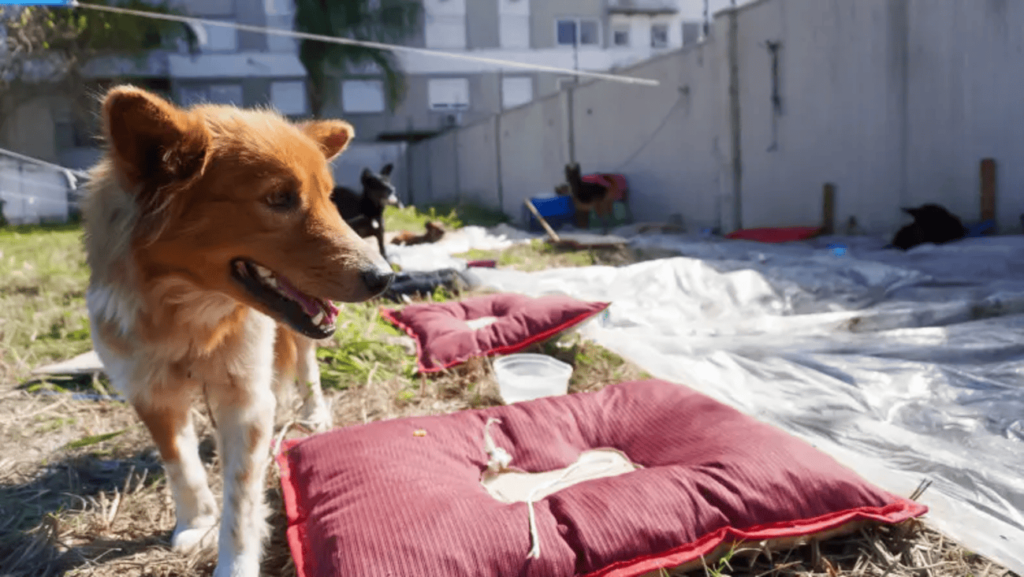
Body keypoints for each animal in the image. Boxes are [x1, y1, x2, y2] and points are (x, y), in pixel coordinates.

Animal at [78, 85, 391, 577]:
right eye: (280, 198)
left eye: (329, 198)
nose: (385, 277)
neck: (188, 311)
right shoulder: (150, 392)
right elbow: (181, 465)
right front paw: (197, 521)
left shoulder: (245, 400)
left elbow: (240, 500)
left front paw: (235, 561)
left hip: (299, 339)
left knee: (307, 368)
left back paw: (315, 414)